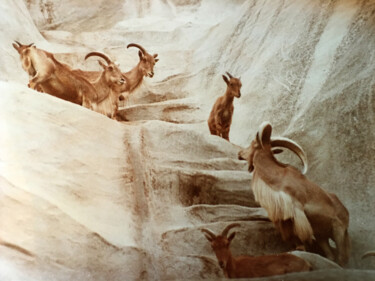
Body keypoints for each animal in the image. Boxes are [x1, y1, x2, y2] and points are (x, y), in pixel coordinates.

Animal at [239, 121, 352, 264]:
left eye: (252, 143)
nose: (239, 153)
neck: (277, 178)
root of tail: (346, 211)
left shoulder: (296, 209)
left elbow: (299, 233)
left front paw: (301, 248)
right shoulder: (284, 215)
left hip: (339, 230)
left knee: (341, 257)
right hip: (322, 235)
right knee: (330, 254)